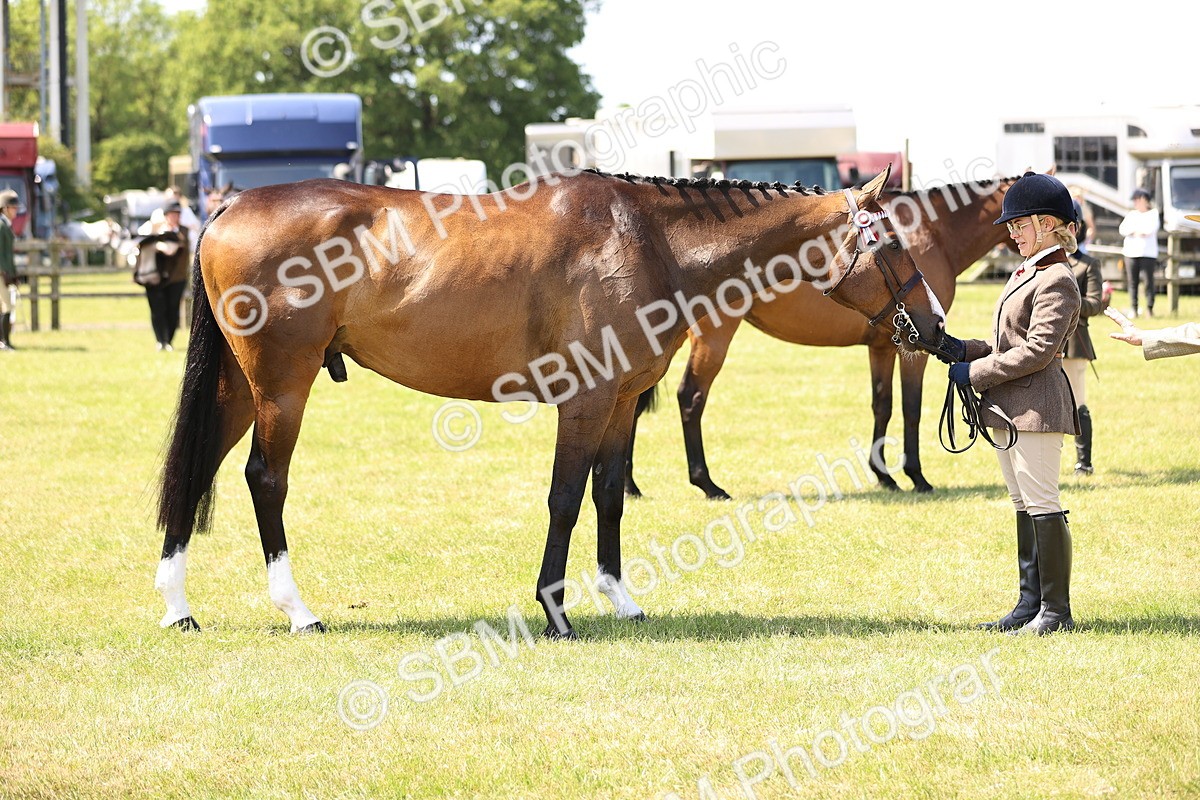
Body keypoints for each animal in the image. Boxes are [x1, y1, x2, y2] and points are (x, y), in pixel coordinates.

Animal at [153, 164, 946, 640]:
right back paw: (298, 610)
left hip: (239, 387)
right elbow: (565, 500)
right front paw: (556, 611)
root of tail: (228, 207)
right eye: (892, 246)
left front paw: (621, 599)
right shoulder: (585, 400)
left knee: (196, 471)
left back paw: (178, 607)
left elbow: (609, 497)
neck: (649, 240)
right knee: (265, 480)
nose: (935, 325)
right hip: (282, 384)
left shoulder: (622, 401)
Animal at [624, 176, 1020, 500]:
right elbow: (911, 408)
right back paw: (706, 483)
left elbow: (883, 404)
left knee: (634, 401)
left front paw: (884, 476)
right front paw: (916, 476)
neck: (934, 232)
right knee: (690, 397)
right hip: (712, 339)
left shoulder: (884, 346)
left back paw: (630, 485)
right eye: (893, 246)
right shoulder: (915, 349)